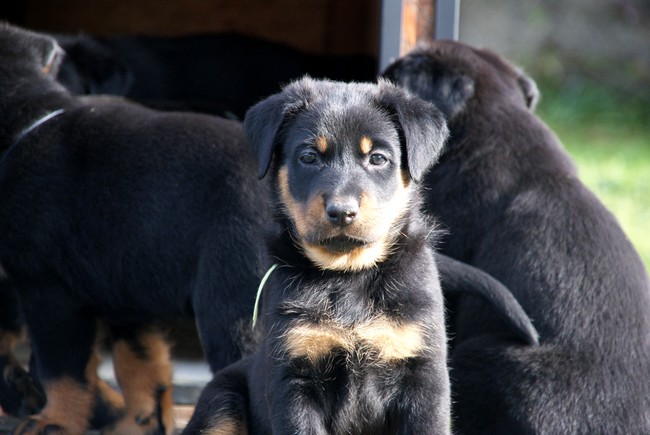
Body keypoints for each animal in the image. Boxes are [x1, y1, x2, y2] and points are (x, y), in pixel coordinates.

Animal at [0, 24, 268, 435]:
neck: (28, 124)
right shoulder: (126, 291)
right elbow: (140, 365)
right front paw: (139, 422)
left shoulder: (47, 288)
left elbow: (60, 368)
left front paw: (53, 421)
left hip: (233, 299)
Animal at [185, 78, 454, 435]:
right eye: (309, 157)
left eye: (378, 158)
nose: (341, 211)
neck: (348, 274)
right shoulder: (294, 378)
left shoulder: (423, 374)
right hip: (220, 401)